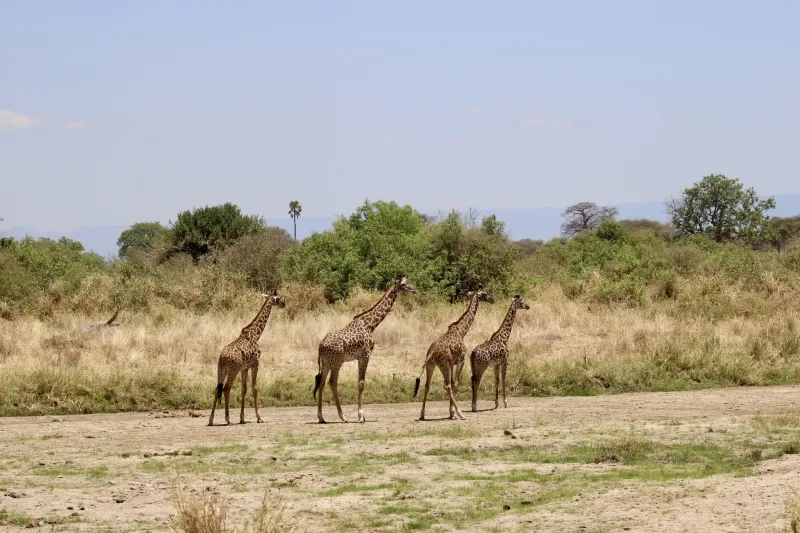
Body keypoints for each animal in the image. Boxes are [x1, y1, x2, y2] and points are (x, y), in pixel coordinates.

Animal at [208, 289, 286, 426]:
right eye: (278, 298)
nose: (284, 304)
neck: (255, 334)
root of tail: (222, 358)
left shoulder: (245, 368)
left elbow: (244, 389)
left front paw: (242, 418)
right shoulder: (255, 364)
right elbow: (255, 388)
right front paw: (259, 417)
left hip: (221, 370)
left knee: (217, 389)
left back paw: (211, 420)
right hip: (232, 371)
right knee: (226, 389)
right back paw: (227, 419)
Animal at [313, 274, 416, 424]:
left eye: (407, 283)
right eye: (403, 285)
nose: (414, 290)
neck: (371, 324)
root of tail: (320, 346)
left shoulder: (359, 357)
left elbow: (358, 382)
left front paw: (363, 416)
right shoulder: (365, 355)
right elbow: (361, 383)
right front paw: (361, 416)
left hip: (326, 363)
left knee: (321, 383)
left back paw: (321, 417)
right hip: (337, 362)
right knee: (332, 382)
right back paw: (342, 416)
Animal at [413, 284, 494, 420]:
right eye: (485, 294)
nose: (492, 300)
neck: (461, 331)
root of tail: (431, 352)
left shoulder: (452, 363)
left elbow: (452, 382)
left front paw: (451, 412)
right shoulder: (461, 360)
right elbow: (456, 383)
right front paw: (453, 413)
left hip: (432, 364)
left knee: (427, 385)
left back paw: (422, 414)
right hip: (443, 365)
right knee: (447, 385)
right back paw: (461, 414)